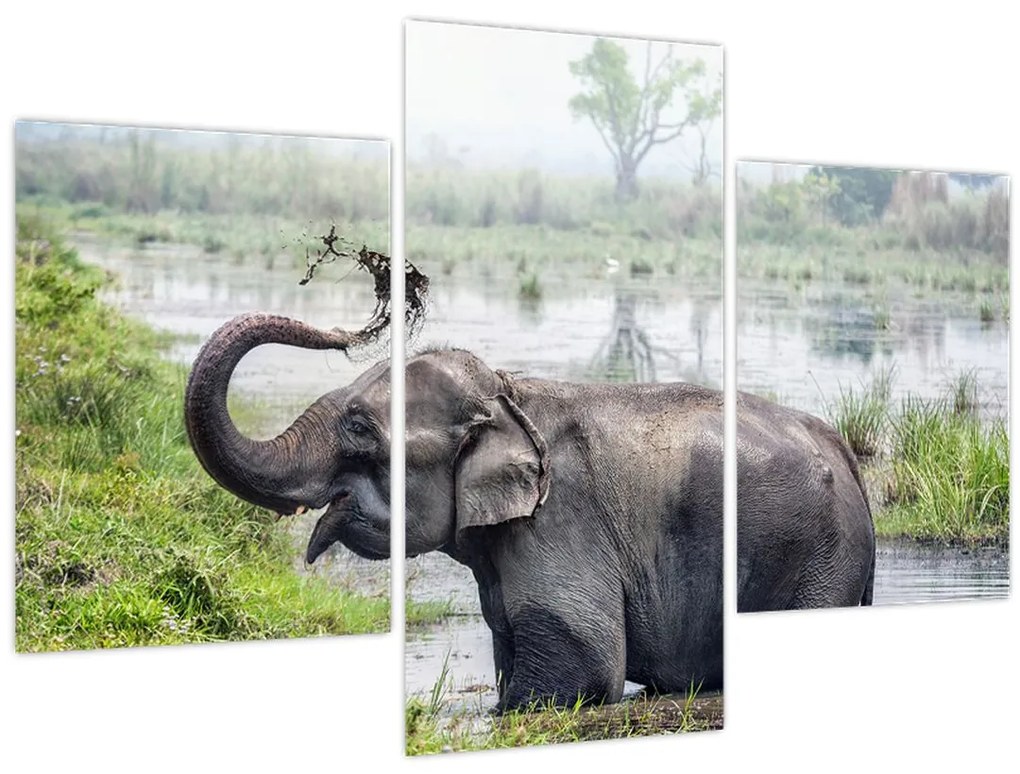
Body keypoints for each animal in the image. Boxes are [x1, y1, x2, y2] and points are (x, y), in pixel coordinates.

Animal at [185, 312, 875, 711]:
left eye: (357, 427)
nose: (343, 329)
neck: (508, 394)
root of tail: (844, 452)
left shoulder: (558, 522)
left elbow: (585, 666)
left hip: (822, 556)